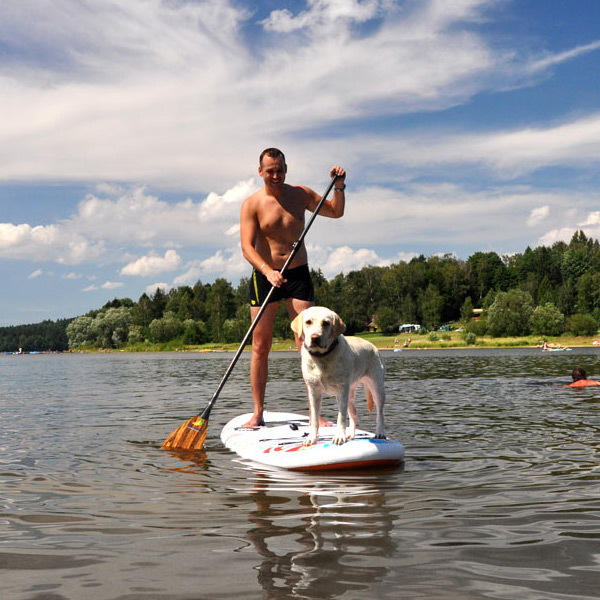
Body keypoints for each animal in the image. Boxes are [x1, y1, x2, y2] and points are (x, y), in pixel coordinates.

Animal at [292, 308, 386, 442]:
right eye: (308, 322)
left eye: (326, 323)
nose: (315, 337)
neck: (322, 357)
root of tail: (374, 346)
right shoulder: (314, 391)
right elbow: (314, 418)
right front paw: (312, 438)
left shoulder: (341, 389)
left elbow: (341, 417)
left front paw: (340, 437)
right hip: (350, 391)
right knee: (354, 412)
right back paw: (351, 434)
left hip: (376, 387)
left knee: (380, 412)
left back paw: (380, 433)